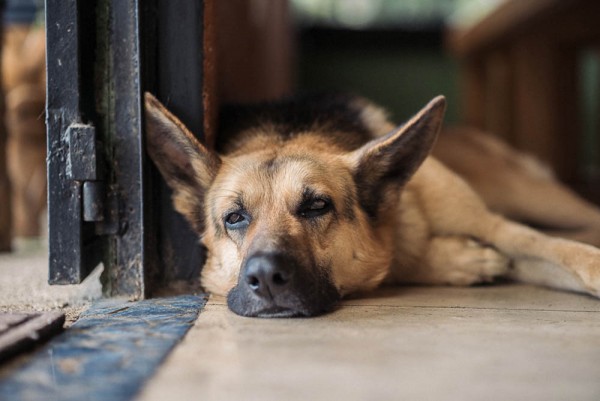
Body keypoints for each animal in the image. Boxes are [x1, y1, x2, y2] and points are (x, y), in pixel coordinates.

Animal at [144, 92, 600, 318]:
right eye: (235, 218)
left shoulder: (497, 227)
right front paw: (460, 260)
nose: (266, 278)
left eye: (316, 206)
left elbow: (568, 252)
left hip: (541, 200)